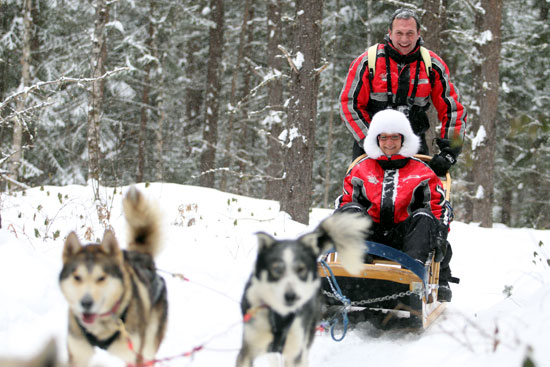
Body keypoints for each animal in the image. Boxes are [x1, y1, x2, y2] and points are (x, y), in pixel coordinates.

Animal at [59, 188, 168, 366]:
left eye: (101, 278)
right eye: (77, 277)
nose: (86, 303)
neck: (100, 329)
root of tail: (141, 256)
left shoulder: (135, 356)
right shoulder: (77, 355)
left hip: (148, 348)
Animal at [237, 214, 370, 366]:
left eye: (301, 269)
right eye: (276, 269)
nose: (291, 296)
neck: (280, 315)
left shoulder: (295, 352)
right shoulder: (248, 350)